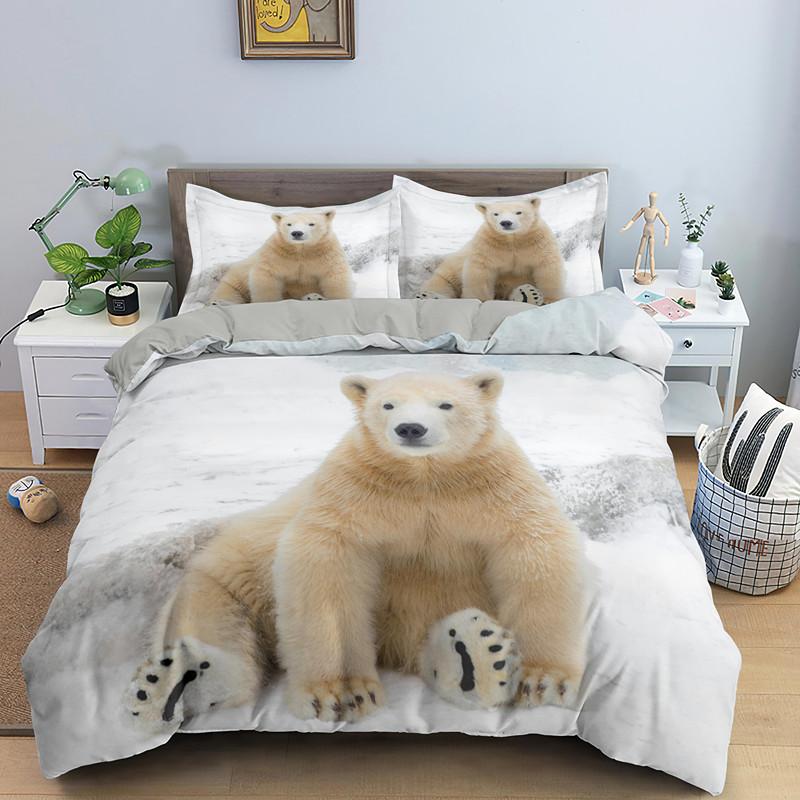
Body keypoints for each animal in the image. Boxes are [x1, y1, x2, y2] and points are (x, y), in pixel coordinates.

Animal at [126, 370, 587, 727]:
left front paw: (543, 681)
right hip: (225, 581)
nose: (410, 429)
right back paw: (170, 685)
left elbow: (535, 549)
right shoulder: (355, 491)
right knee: (217, 635)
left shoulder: (492, 486)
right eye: (388, 405)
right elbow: (328, 568)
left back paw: (475, 653)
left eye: (445, 404)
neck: (424, 478)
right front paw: (342, 693)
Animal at [211, 210, 354, 304]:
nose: (297, 233)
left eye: (311, 224)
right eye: (289, 224)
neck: (301, 250)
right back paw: (219, 302)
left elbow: (334, 276)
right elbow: (267, 276)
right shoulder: (276, 253)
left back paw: (313, 297)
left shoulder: (326, 252)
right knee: (229, 291)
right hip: (235, 278)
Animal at [417, 198, 564, 304]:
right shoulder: (488, 244)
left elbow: (547, 267)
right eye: (496, 214)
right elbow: (481, 271)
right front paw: (480, 299)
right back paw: (426, 296)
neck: (512, 240)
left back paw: (528, 294)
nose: (506, 222)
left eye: (518, 212)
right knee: (440, 285)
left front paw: (550, 299)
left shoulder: (537, 241)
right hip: (447, 275)